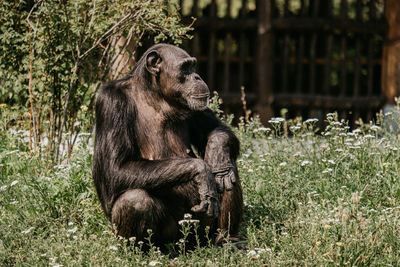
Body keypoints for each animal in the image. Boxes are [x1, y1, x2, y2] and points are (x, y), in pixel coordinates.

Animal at [93, 43, 244, 247]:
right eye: (185, 68)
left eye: (193, 66)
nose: (197, 77)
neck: (155, 95)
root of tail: (189, 244)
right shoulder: (111, 102)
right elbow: (115, 168)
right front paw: (201, 170)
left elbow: (217, 129)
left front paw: (216, 151)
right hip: (173, 234)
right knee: (134, 200)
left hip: (203, 229)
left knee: (228, 169)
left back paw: (227, 240)